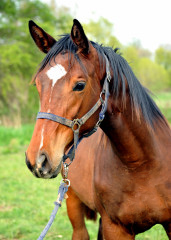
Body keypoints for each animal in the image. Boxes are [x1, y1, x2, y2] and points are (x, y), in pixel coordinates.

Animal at [25, 19, 171, 240]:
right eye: (38, 85)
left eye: (79, 85)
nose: (37, 159)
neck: (143, 164)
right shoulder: (116, 228)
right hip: (72, 200)